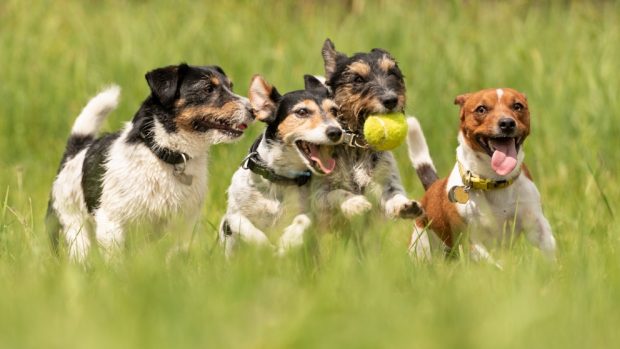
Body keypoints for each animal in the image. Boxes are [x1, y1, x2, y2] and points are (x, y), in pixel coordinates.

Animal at [45, 64, 254, 260]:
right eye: (208, 88)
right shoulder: (111, 223)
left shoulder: (183, 225)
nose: (253, 110)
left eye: (230, 86)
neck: (164, 155)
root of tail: (73, 155)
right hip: (74, 230)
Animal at [219, 74, 344, 256]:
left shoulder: (311, 211)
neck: (279, 178)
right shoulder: (231, 218)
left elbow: (304, 219)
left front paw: (288, 241)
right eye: (302, 112)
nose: (336, 132)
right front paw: (265, 247)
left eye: (334, 111)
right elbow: (242, 223)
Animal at [406, 87, 556, 260]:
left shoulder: (536, 225)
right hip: (421, 245)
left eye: (517, 106)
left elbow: (549, 248)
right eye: (481, 109)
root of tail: (431, 187)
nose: (507, 123)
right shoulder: (470, 241)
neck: (495, 181)